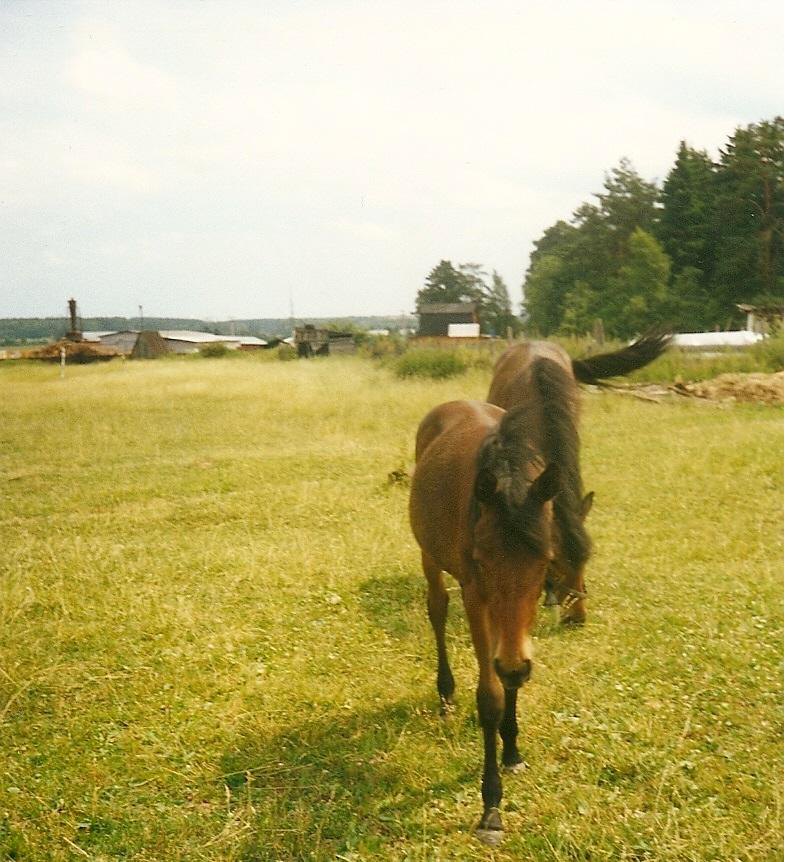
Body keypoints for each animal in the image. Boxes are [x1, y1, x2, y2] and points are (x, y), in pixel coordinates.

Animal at [408, 378, 580, 844]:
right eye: (483, 560)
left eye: (546, 562)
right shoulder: (476, 594)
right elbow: (491, 695)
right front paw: (491, 806)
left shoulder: (518, 623)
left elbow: (512, 679)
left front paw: (513, 750)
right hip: (429, 555)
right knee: (436, 608)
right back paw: (446, 692)